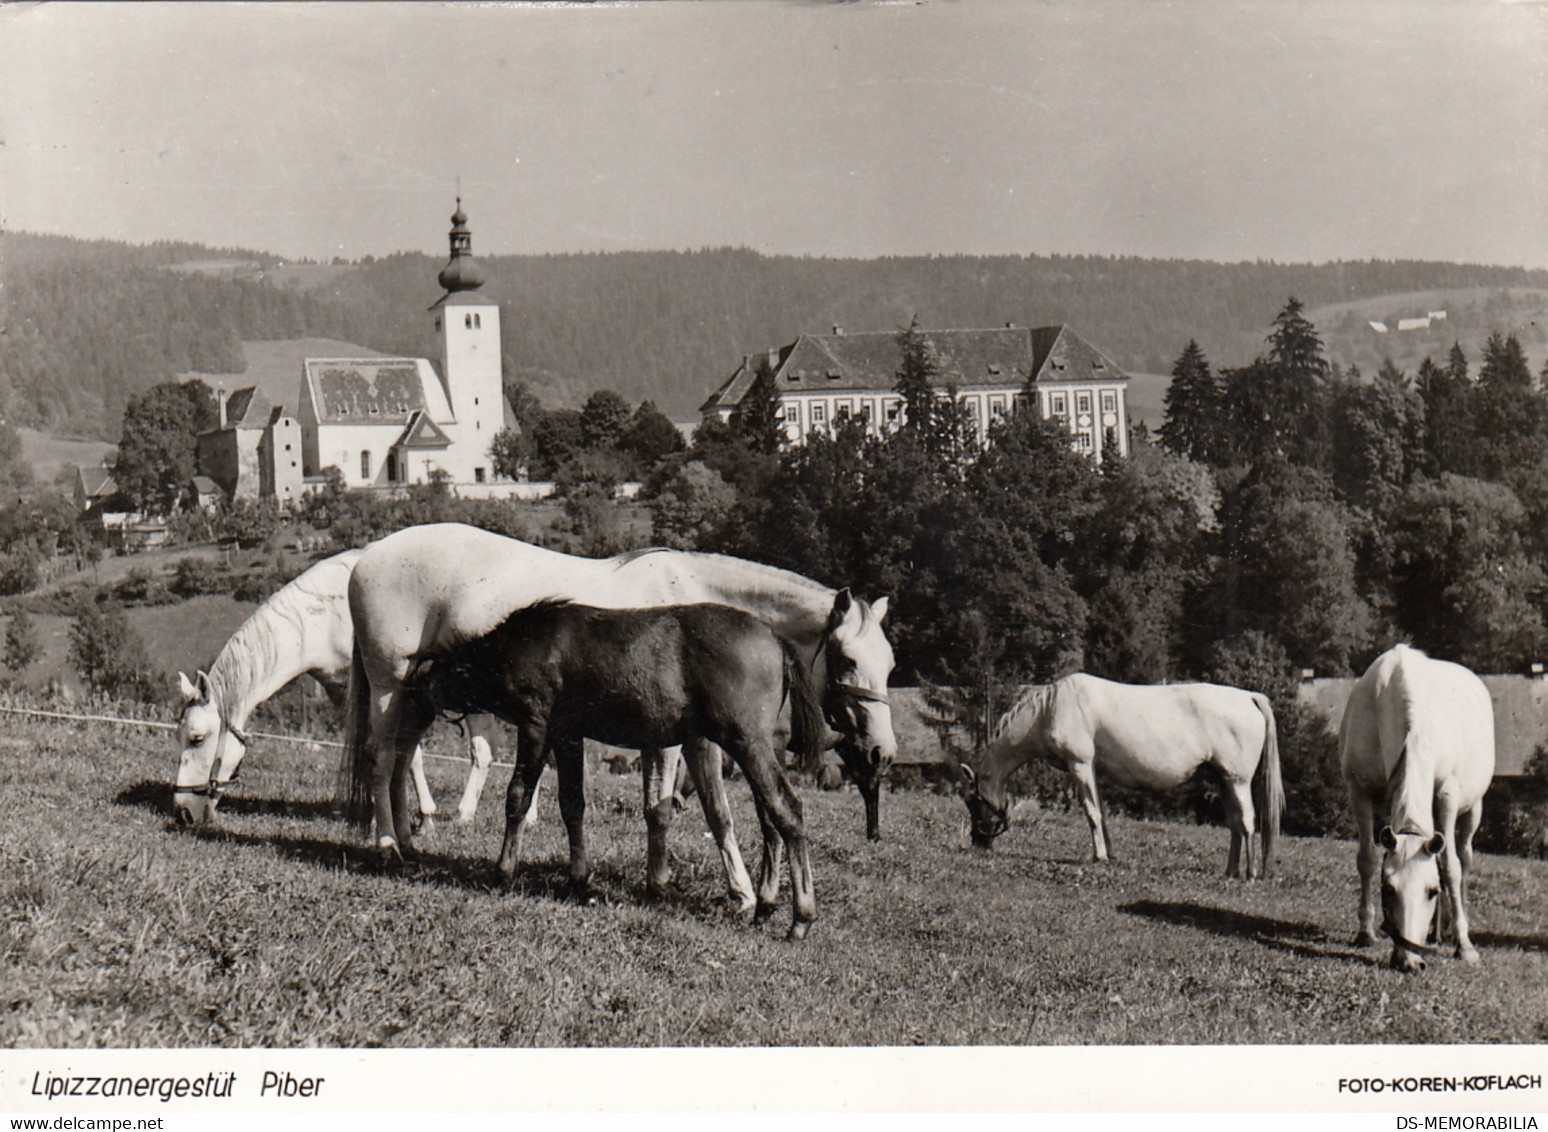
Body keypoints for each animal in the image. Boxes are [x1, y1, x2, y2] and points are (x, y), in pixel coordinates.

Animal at [177, 548, 501, 830]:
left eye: (197, 738)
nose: (183, 811)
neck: (325, 619)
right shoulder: (345, 692)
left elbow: (408, 755)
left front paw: (420, 817)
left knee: (481, 753)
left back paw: (464, 814)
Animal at [339, 523, 897, 910]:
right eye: (847, 660)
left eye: (890, 664)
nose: (881, 753)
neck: (694, 595)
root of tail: (369, 556)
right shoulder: (680, 739)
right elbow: (682, 809)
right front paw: (705, 887)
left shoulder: (679, 736)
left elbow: (697, 809)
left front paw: (720, 888)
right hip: (390, 687)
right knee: (381, 759)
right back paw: (387, 846)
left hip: (416, 699)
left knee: (402, 760)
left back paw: (408, 840)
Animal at [959, 678, 1287, 879]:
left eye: (972, 801)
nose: (978, 842)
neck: (1051, 708)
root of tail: (1249, 697)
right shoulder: (1092, 770)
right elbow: (1101, 813)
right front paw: (1110, 853)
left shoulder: (1080, 765)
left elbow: (1091, 813)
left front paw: (1099, 856)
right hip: (1224, 781)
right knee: (1235, 825)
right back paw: (1231, 870)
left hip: (1238, 781)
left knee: (1246, 822)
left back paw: (1251, 873)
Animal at [1337, 647, 1492, 972]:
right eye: (1388, 889)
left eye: (1431, 892)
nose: (1409, 962)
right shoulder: (1359, 791)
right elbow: (1367, 859)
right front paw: (1365, 932)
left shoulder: (1447, 794)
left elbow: (1450, 867)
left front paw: (1464, 945)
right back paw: (1434, 933)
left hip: (1474, 807)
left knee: (1464, 857)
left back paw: (1450, 929)